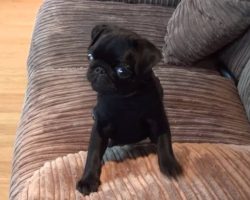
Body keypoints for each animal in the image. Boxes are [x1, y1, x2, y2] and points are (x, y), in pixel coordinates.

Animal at [76, 24, 182, 195]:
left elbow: (164, 142)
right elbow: (93, 154)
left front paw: (170, 164)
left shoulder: (158, 120)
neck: (124, 98)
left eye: (122, 71)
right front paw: (88, 180)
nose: (99, 69)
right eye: (90, 56)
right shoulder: (100, 127)